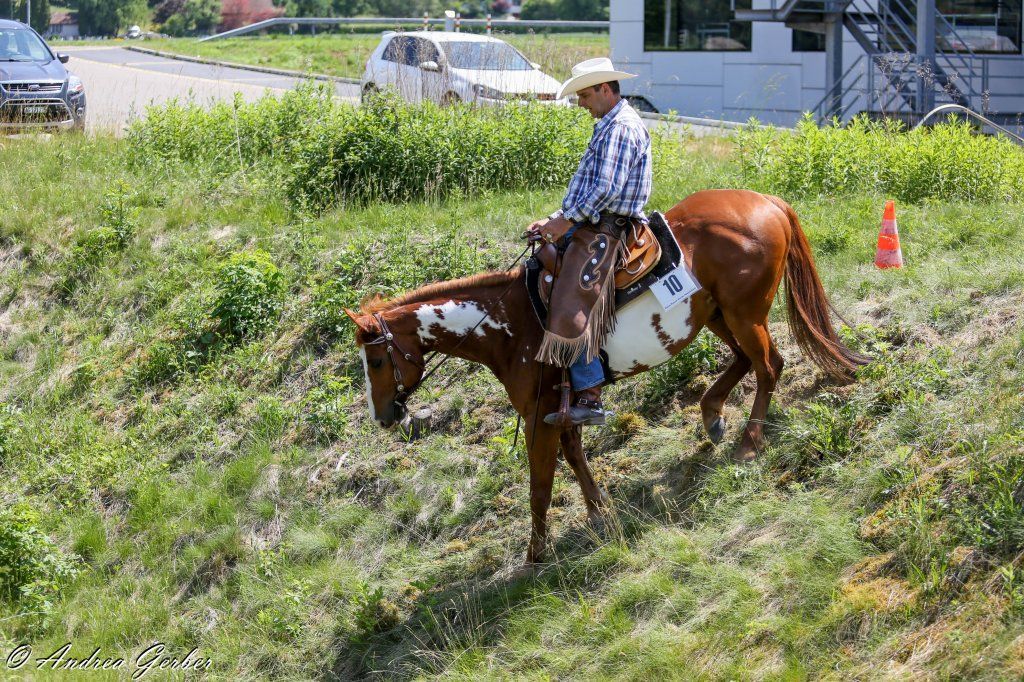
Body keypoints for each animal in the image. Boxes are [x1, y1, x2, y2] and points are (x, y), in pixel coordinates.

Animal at [345, 189, 868, 564]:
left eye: (376, 362)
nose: (382, 416)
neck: (508, 320)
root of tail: (769, 203)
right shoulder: (561, 410)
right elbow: (576, 459)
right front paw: (600, 513)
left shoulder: (537, 415)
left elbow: (541, 484)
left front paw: (535, 555)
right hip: (718, 315)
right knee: (744, 361)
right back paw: (712, 414)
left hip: (744, 314)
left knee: (768, 365)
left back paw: (749, 442)